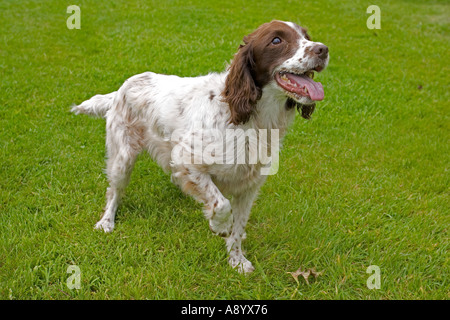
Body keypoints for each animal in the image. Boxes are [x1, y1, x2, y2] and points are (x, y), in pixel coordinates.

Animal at [72, 20, 328, 272]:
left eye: (306, 36)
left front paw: (237, 260)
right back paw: (106, 222)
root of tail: (121, 88)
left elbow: (239, 226)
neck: (249, 118)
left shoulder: (249, 185)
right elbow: (222, 204)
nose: (323, 49)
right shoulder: (186, 159)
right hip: (123, 157)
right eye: (276, 40)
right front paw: (219, 226)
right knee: (113, 191)